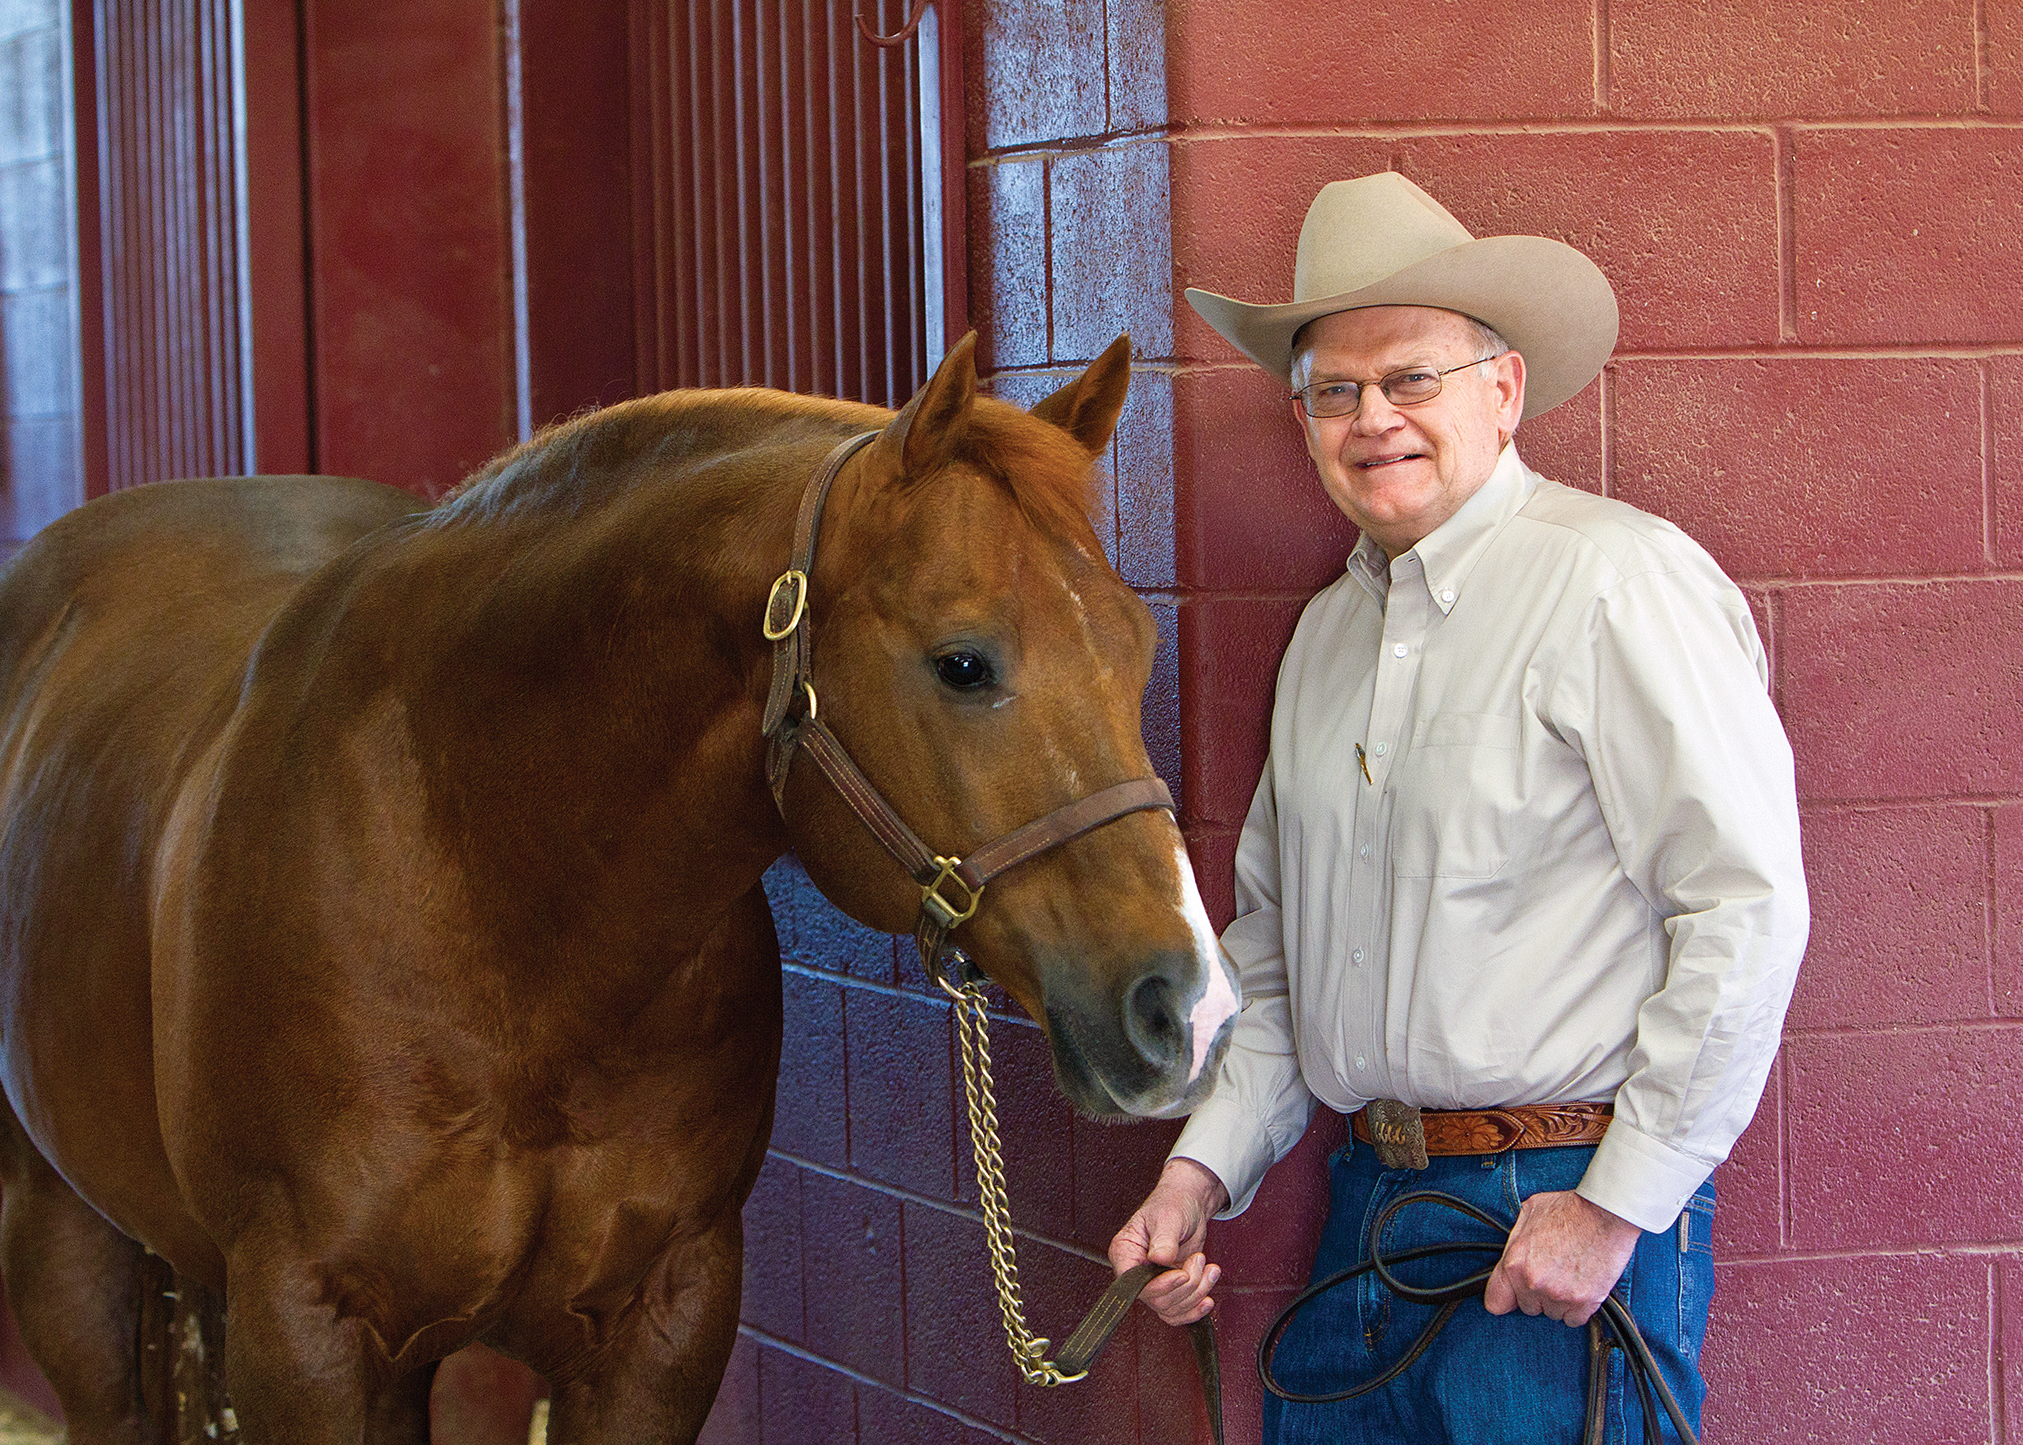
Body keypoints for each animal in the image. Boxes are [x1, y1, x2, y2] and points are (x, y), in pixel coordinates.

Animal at [0, 331, 1238, 1432]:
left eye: (1136, 644)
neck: (495, 896)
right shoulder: (304, 1334)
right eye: (963, 662)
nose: (1191, 1009)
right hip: (67, 1240)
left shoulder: (660, 1324)